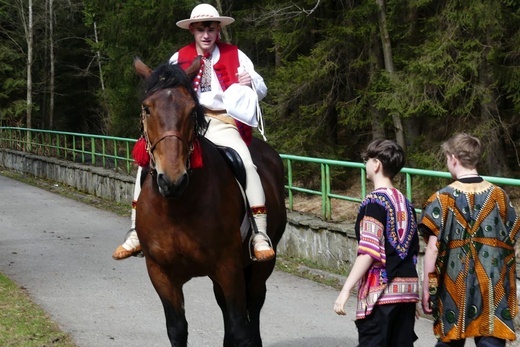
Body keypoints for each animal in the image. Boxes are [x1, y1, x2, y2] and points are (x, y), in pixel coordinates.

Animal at [134, 57, 286, 347]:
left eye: (192, 109)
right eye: (147, 109)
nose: (172, 180)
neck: (177, 208)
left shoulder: (228, 268)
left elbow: (239, 328)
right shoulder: (160, 273)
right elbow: (177, 329)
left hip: (260, 265)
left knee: (254, 302)